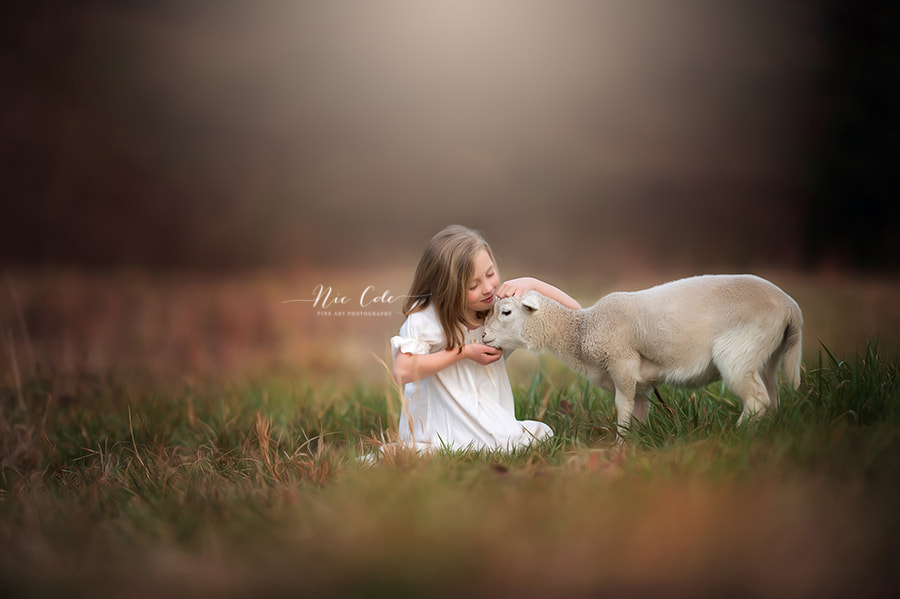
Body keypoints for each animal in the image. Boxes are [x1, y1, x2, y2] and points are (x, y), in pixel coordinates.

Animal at [482, 274, 804, 438]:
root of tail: (791, 308)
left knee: (757, 400)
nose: (483, 336)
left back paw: (736, 436)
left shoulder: (622, 364)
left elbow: (621, 407)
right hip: (766, 353)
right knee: (771, 396)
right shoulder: (642, 382)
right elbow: (638, 412)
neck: (583, 331)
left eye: (506, 312)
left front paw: (619, 446)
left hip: (738, 352)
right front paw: (634, 445)